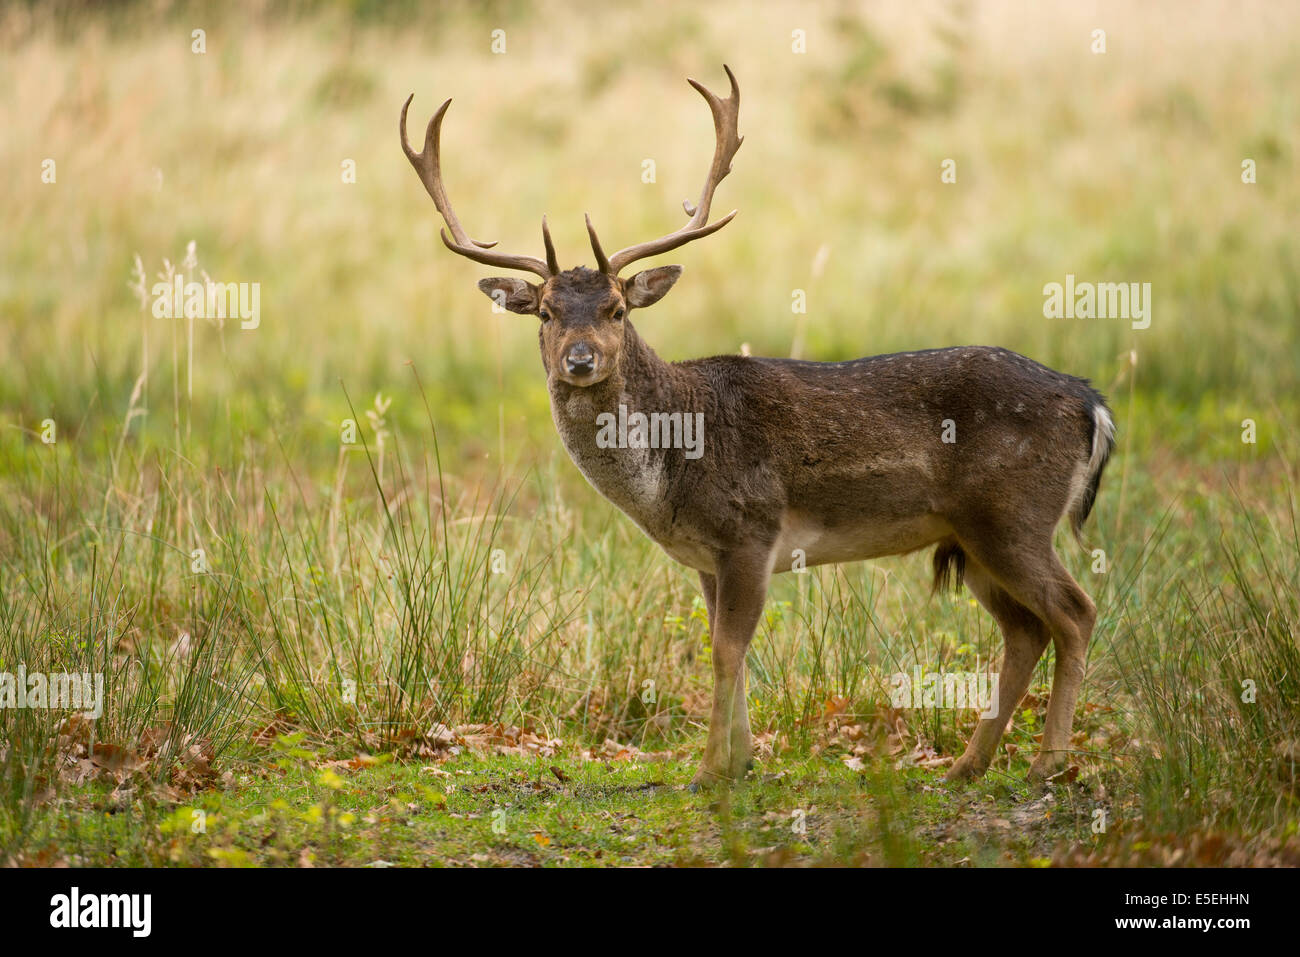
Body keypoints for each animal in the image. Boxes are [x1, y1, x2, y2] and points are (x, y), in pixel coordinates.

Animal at [400, 65, 1112, 785]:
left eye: (617, 308)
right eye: (545, 312)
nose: (580, 359)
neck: (671, 469)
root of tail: (1090, 402)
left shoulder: (751, 526)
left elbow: (725, 648)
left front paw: (709, 769)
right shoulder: (706, 554)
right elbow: (725, 647)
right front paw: (741, 760)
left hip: (1012, 512)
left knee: (1075, 612)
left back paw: (1047, 764)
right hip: (971, 535)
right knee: (1026, 629)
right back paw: (967, 765)